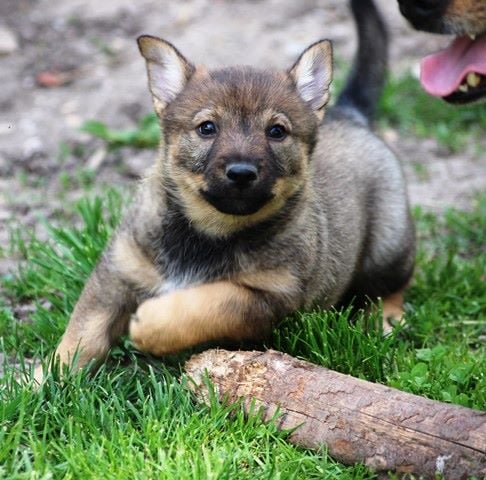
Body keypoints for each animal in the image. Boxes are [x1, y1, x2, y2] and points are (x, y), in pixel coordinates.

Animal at [35, 0, 414, 382]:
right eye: (207, 127)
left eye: (276, 131)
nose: (242, 172)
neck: (206, 233)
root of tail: (350, 114)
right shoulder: (118, 270)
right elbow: (82, 335)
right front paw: (41, 381)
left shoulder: (267, 296)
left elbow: (210, 303)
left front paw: (152, 325)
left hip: (388, 244)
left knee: (391, 286)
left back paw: (384, 321)